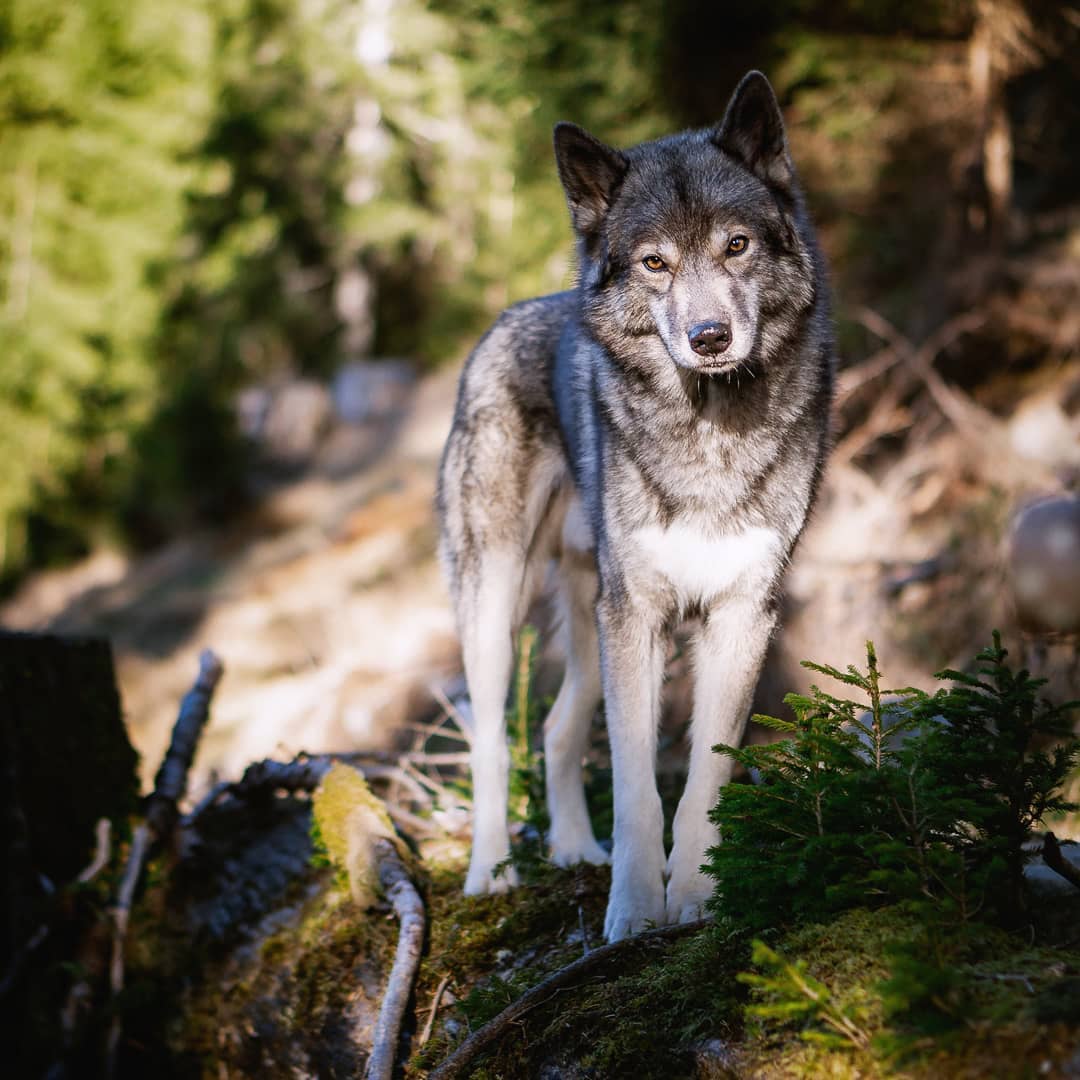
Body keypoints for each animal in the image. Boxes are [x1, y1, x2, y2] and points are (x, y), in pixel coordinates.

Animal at [436, 71, 833, 941]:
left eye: (736, 246)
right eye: (655, 262)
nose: (710, 337)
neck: (708, 428)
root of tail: (500, 322)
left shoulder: (741, 613)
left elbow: (704, 782)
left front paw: (695, 898)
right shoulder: (639, 618)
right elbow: (638, 788)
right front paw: (632, 911)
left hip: (591, 623)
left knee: (555, 730)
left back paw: (573, 850)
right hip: (501, 605)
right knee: (492, 740)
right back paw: (492, 873)